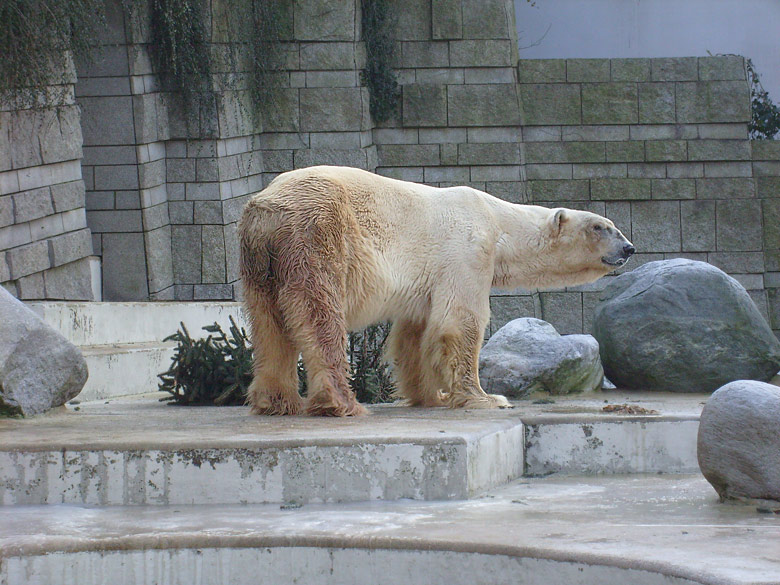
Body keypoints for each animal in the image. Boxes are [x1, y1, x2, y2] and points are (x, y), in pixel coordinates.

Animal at [238, 164, 632, 416]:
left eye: (611, 223)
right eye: (600, 226)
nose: (629, 248)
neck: (498, 221)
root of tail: (266, 208)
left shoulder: (426, 282)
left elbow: (414, 334)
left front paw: (432, 395)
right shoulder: (467, 251)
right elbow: (461, 322)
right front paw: (486, 398)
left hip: (260, 261)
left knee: (268, 324)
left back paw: (275, 401)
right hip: (318, 235)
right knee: (318, 314)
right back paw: (341, 402)